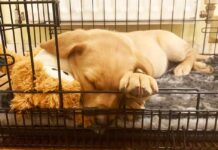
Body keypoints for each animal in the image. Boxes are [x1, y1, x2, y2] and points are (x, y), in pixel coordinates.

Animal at [40, 29, 213, 124]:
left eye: (119, 90)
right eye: (90, 82)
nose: (101, 122)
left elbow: (140, 74)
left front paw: (136, 88)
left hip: (173, 48)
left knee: (192, 52)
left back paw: (185, 67)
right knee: (193, 55)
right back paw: (203, 66)